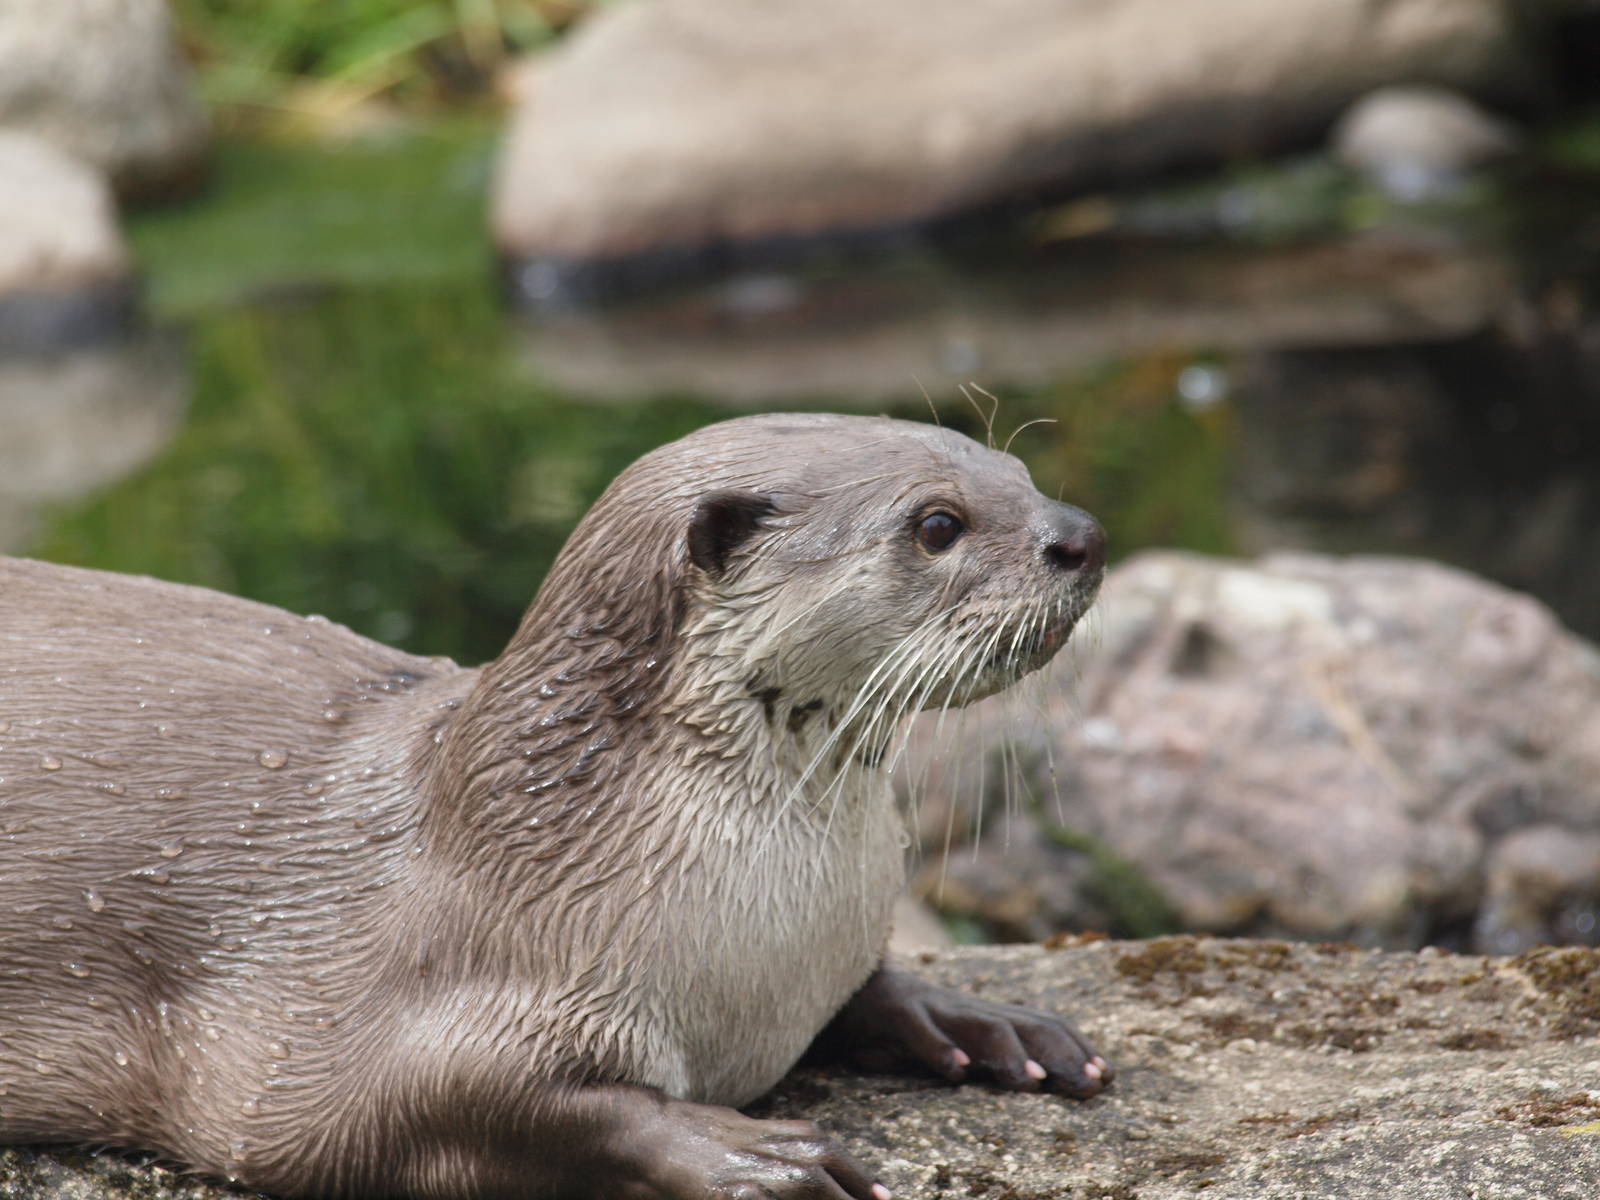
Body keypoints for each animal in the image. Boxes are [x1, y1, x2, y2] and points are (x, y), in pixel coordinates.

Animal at [0, 413, 1109, 1200]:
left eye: (1015, 472)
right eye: (937, 525)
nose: (1083, 536)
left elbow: (873, 987)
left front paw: (986, 1022)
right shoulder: (389, 1004)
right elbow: (479, 1102)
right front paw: (749, 1153)